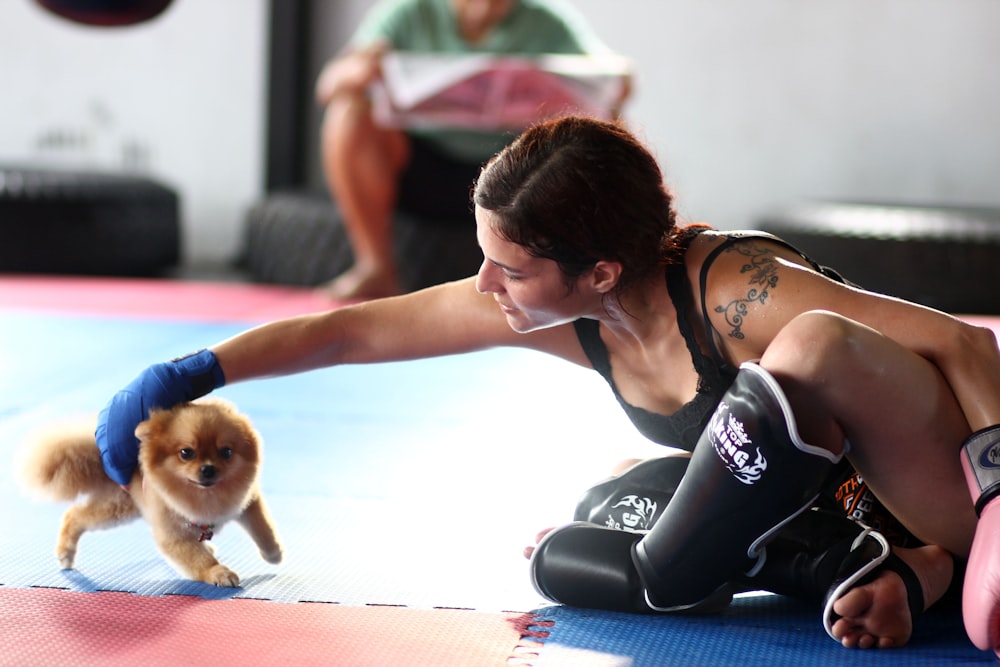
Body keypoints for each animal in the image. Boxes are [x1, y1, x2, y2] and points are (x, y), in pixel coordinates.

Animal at [20, 400, 286, 588]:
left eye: (226, 452)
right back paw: (65, 553)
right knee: (74, 515)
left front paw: (273, 553)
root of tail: (102, 456)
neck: (205, 497)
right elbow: (196, 558)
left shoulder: (248, 502)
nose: (208, 469)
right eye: (186, 453)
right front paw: (217, 572)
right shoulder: (172, 534)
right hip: (118, 508)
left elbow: (263, 528)